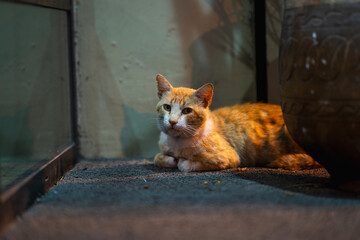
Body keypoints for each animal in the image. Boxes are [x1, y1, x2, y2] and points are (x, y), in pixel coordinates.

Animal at [153, 74, 320, 172]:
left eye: (187, 111)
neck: (177, 142)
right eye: (167, 107)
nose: (173, 121)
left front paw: (181, 161)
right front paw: (168, 159)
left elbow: (185, 165)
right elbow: (157, 157)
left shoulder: (227, 157)